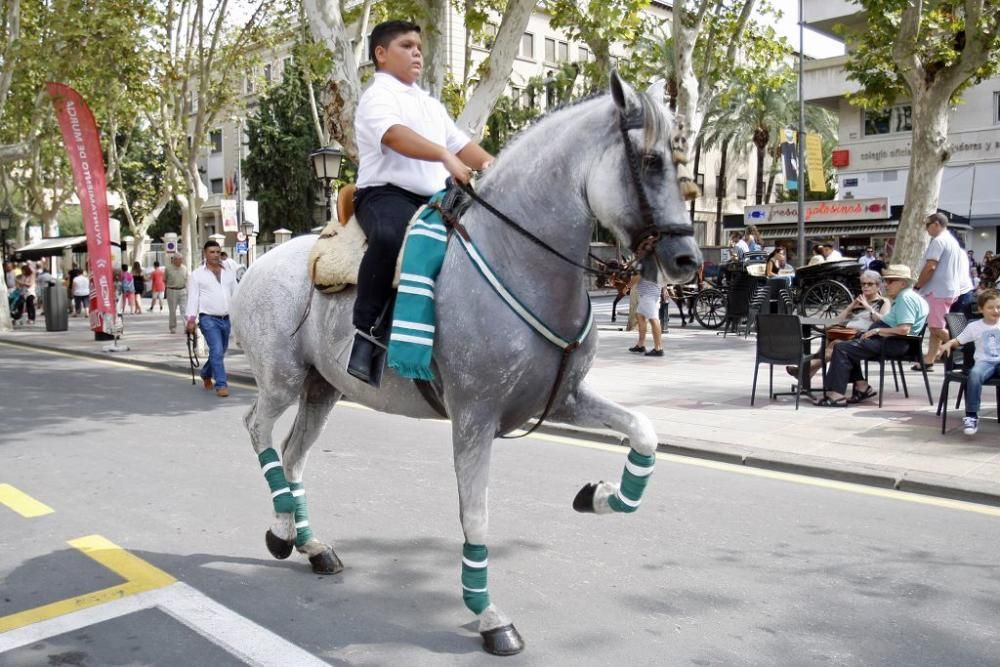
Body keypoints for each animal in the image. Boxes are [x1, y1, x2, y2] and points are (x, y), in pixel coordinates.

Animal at [232, 72, 704, 652]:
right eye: (652, 161)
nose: (687, 261)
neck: (516, 260)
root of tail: (257, 263)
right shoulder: (474, 417)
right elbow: (476, 516)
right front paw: (489, 616)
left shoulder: (562, 400)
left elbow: (644, 433)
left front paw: (599, 495)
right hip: (282, 379)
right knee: (258, 428)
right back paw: (281, 532)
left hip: (324, 389)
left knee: (294, 455)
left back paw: (310, 544)